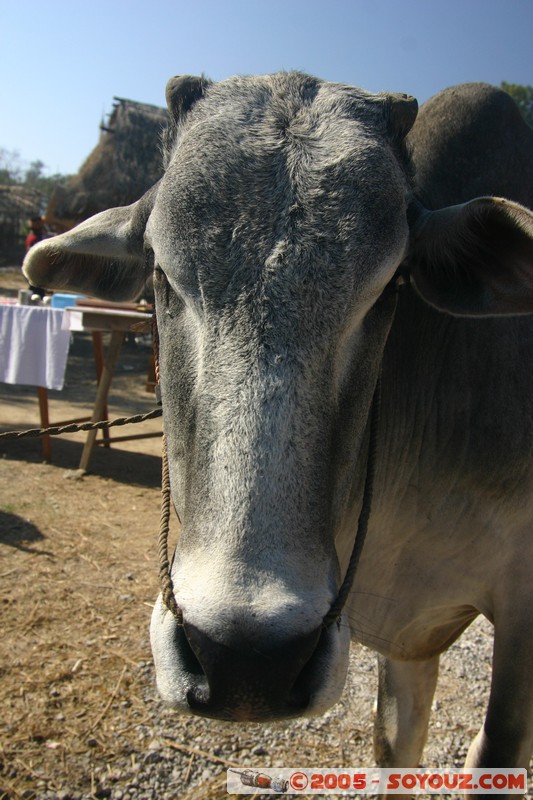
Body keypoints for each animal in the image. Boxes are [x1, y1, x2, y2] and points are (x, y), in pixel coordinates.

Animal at [23, 73, 532, 788]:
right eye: (160, 274)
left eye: (392, 286)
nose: (247, 662)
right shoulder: (408, 646)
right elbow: (396, 747)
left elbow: (494, 753)